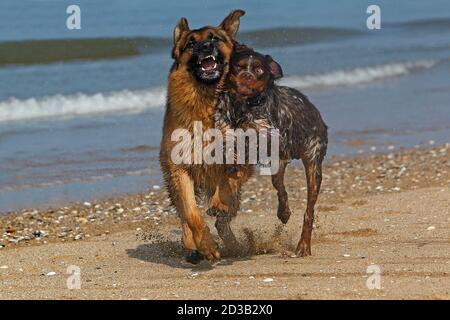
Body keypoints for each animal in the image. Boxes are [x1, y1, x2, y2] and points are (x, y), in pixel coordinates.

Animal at [159, 11, 253, 264]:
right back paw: (193, 248)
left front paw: (219, 201)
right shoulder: (180, 169)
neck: (207, 99)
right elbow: (192, 215)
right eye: (191, 43)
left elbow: (228, 180)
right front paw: (206, 245)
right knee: (184, 216)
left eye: (215, 38)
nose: (205, 46)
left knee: (223, 221)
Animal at [214, 44, 326, 255]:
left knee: (309, 210)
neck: (242, 106)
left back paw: (303, 245)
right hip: (279, 165)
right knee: (279, 187)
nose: (247, 76)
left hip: (313, 164)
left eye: (259, 70)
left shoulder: (270, 137)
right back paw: (283, 211)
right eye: (239, 67)